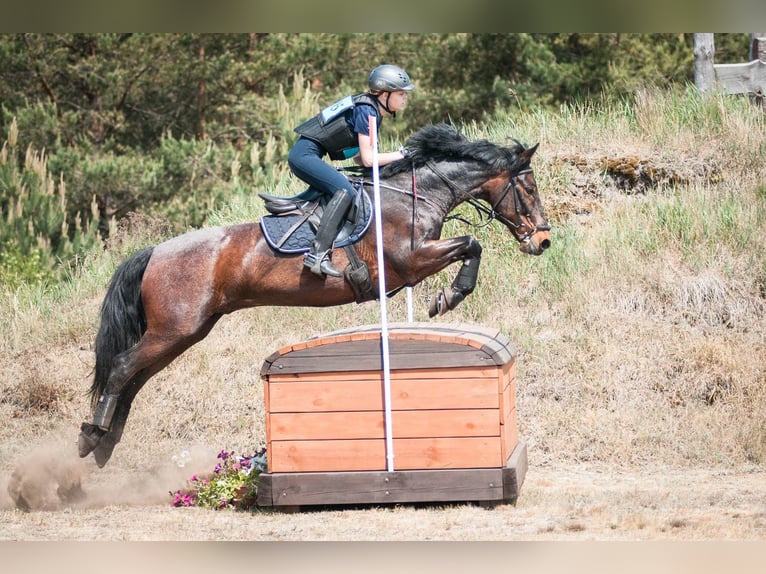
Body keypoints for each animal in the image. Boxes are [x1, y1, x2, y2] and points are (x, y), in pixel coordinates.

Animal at [79, 124, 552, 470]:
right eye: (528, 189)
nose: (543, 241)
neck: (413, 195)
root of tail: (154, 251)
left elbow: (471, 245)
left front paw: (446, 297)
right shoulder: (410, 261)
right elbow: (472, 243)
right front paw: (449, 297)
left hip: (185, 332)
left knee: (134, 378)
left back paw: (106, 440)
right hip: (175, 329)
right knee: (122, 368)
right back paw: (91, 436)